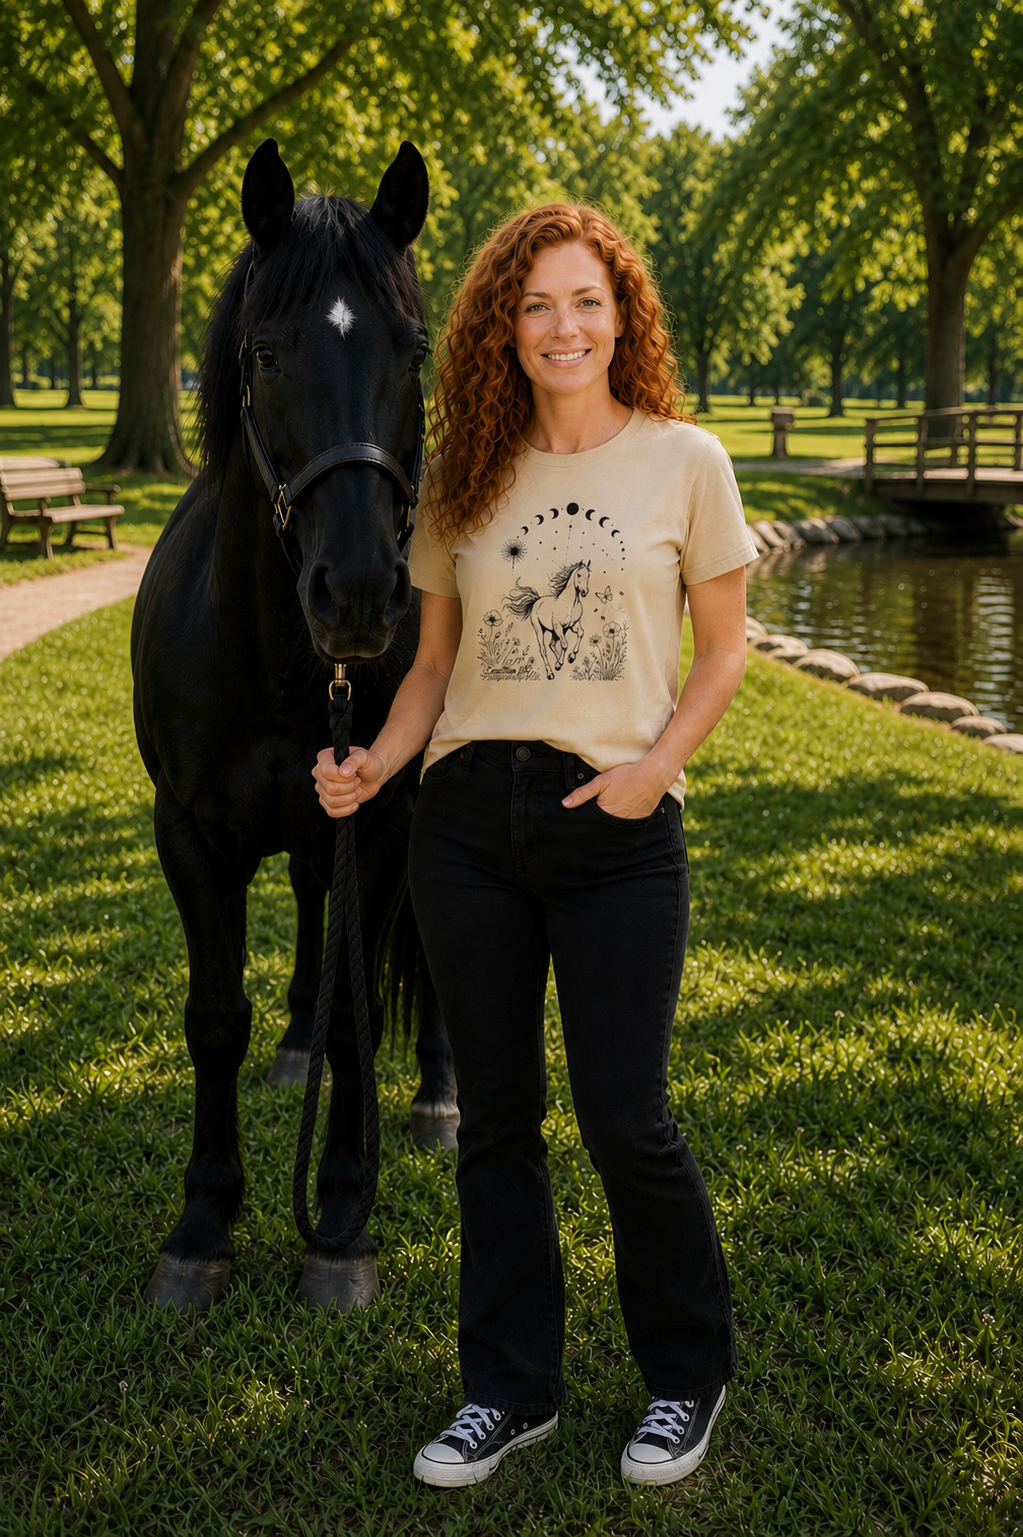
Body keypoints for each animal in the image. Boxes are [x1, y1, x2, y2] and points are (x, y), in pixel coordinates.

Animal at [130, 138, 458, 1316]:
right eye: (266, 356)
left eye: (415, 350)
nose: (358, 594)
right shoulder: (190, 833)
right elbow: (213, 1017)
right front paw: (201, 1223)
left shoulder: (391, 820)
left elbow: (361, 1018)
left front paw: (342, 1225)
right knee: (316, 908)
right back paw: (293, 1037)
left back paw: (439, 1096)